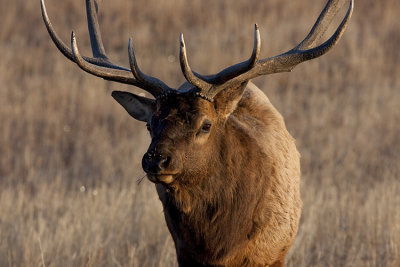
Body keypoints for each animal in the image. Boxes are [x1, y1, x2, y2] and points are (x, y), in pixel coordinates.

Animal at [40, 0, 354, 266]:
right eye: (149, 124)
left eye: (206, 124)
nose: (156, 160)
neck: (220, 247)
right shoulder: (184, 253)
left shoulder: (270, 251)